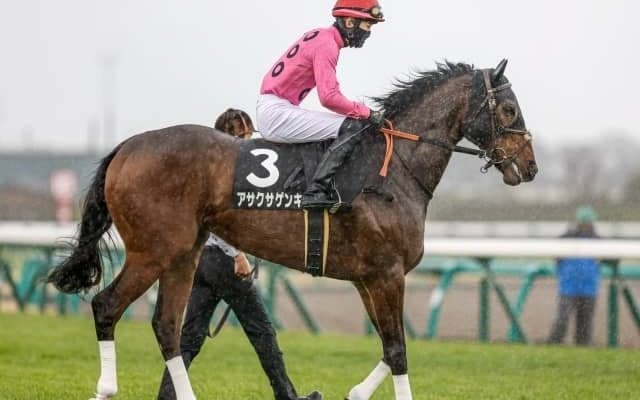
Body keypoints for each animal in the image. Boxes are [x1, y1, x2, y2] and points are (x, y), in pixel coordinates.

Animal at [47, 60, 538, 400]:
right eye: (509, 108)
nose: (531, 167)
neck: (393, 168)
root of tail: (126, 147)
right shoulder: (387, 274)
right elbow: (398, 350)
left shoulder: (367, 278)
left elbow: (387, 346)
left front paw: (355, 392)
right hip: (152, 251)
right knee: (106, 306)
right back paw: (105, 388)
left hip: (183, 254)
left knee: (167, 326)